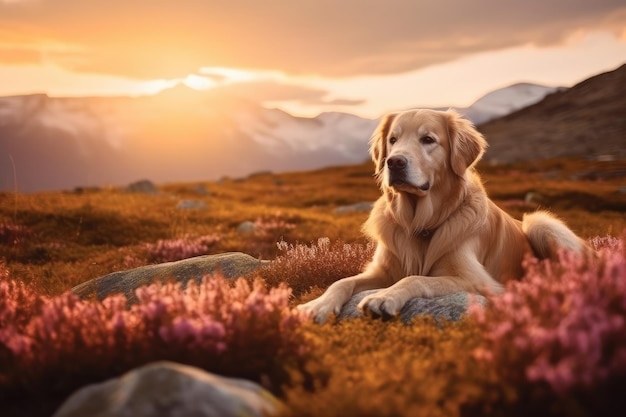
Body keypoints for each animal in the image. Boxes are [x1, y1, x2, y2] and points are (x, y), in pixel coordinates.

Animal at [298, 107, 588, 322]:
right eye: (393, 140)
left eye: (428, 139)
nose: (394, 162)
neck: (420, 223)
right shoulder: (383, 270)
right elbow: (342, 282)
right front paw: (317, 305)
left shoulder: (477, 280)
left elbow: (416, 278)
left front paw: (384, 297)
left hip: (541, 223)